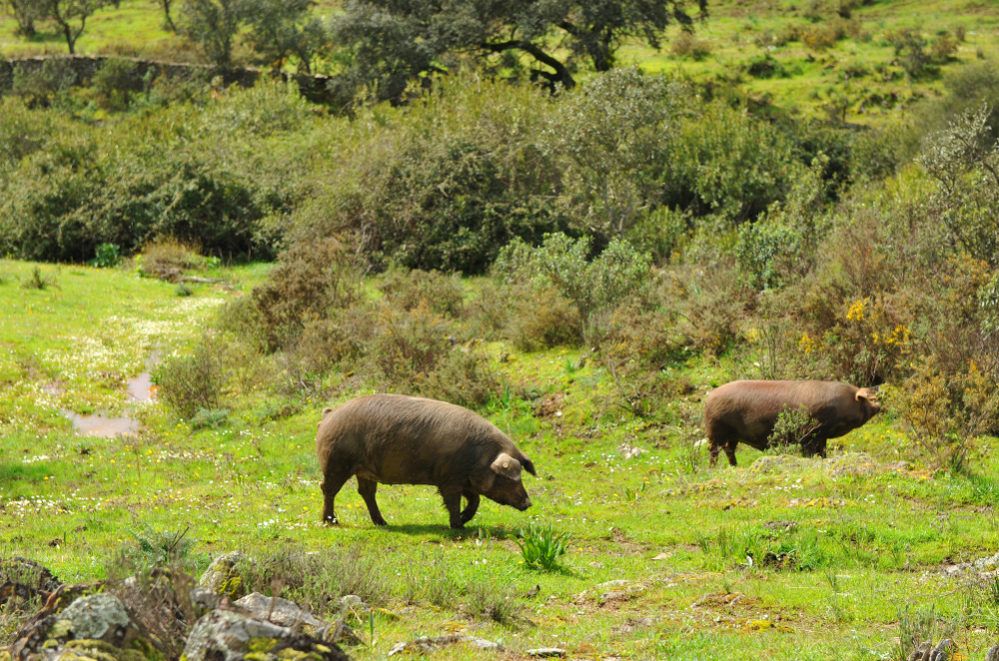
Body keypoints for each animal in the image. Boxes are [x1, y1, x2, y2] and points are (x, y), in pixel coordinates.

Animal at [318, 394, 540, 528]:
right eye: (509, 478)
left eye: (521, 475)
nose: (528, 503)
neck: (479, 457)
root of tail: (330, 415)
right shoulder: (449, 479)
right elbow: (453, 502)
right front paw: (457, 526)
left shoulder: (463, 480)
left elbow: (474, 500)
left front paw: (463, 520)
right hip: (336, 462)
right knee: (327, 488)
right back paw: (331, 522)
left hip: (364, 470)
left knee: (366, 492)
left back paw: (383, 523)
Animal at [704, 378, 884, 466]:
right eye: (868, 399)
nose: (880, 405)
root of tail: (710, 396)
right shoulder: (808, 434)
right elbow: (809, 453)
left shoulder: (822, 436)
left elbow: (823, 452)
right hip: (714, 431)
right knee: (714, 451)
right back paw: (713, 468)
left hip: (732, 436)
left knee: (729, 450)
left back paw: (735, 466)